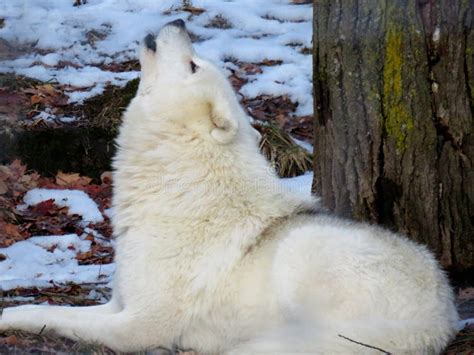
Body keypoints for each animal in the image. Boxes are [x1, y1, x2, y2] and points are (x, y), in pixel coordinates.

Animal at [0, 20, 460, 355]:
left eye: (192, 65)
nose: (180, 20)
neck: (180, 178)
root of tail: (440, 320)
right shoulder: (119, 303)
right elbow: (45, 308)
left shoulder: (139, 325)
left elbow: (62, 319)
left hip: (302, 254)